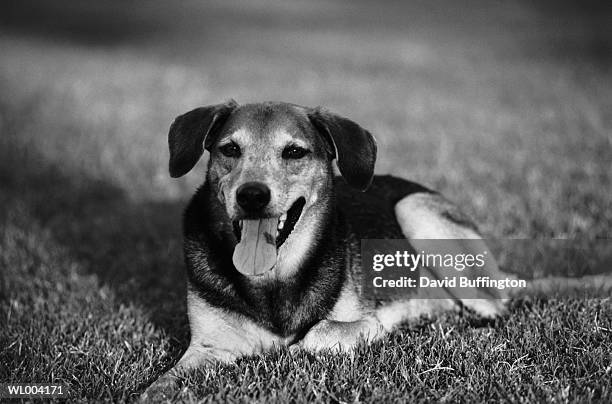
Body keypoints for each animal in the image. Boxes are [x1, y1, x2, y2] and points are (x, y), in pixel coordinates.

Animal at [141, 100, 510, 398]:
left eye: (294, 152)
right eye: (230, 149)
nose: (252, 196)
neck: (273, 277)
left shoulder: (366, 324)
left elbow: (321, 330)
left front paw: (289, 352)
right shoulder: (207, 347)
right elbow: (162, 384)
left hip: (415, 210)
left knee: (496, 306)